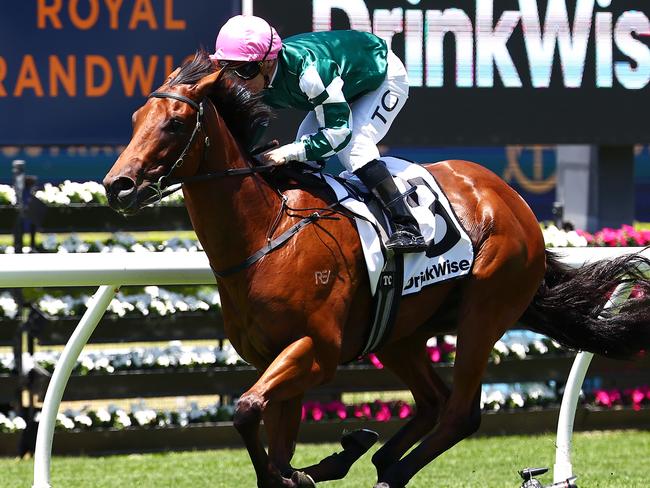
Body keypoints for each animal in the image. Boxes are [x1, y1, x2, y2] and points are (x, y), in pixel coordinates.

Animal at [102, 51, 648, 486]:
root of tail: (510, 198)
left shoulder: (315, 351)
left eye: (175, 123)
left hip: (486, 309)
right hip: (400, 332)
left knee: (460, 412)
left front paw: (298, 472)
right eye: (135, 117)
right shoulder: (274, 359)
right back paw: (369, 455)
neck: (265, 235)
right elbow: (268, 433)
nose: (117, 186)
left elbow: (246, 412)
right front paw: (311, 465)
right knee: (432, 400)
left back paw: (387, 469)